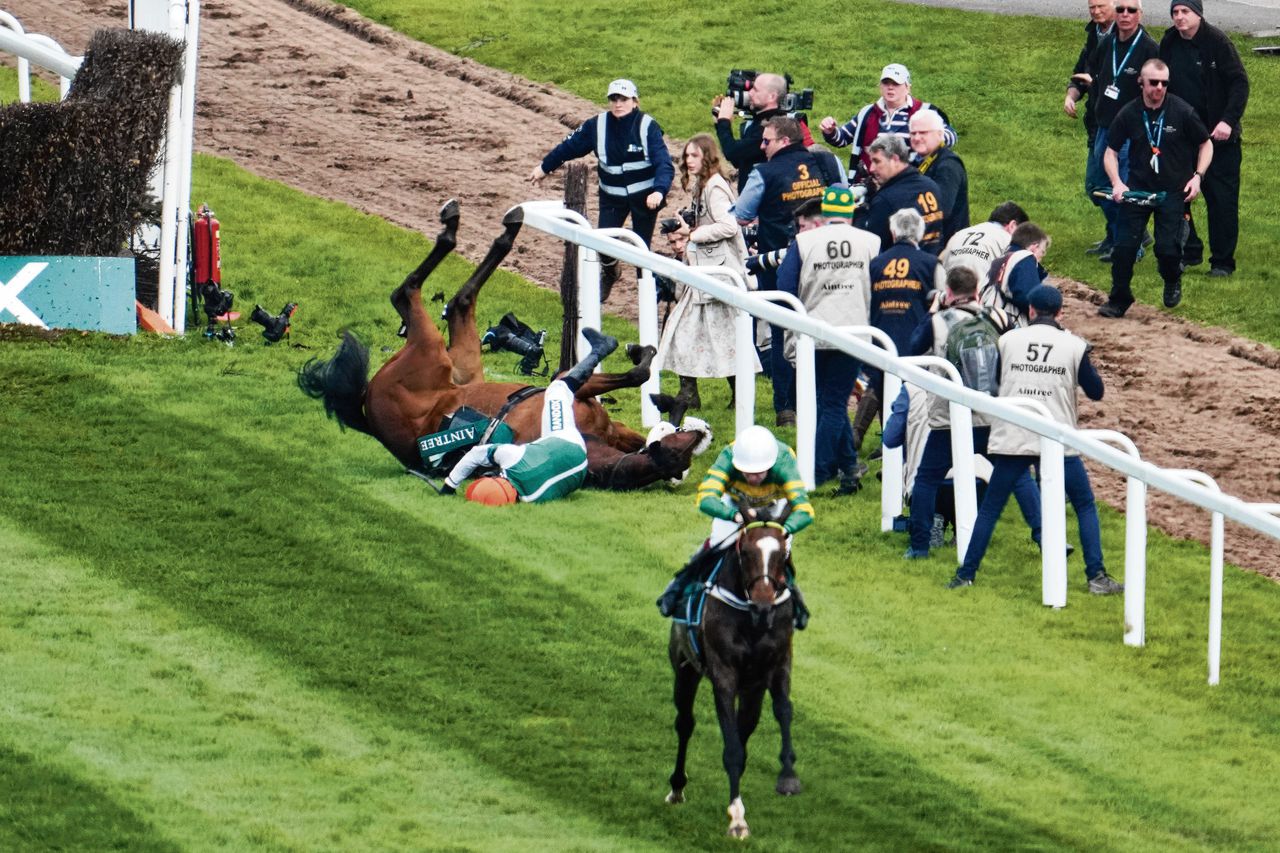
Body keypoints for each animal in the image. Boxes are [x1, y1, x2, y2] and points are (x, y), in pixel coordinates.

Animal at [300, 199, 716, 489]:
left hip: (460, 365)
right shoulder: (563, 386)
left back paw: (485, 227)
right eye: (680, 449)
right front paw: (648, 365)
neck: (583, 440)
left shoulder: (610, 425)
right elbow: (636, 372)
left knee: (457, 302)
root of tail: (367, 401)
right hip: (429, 350)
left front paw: (667, 396)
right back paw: (473, 225)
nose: (702, 433)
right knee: (407, 293)